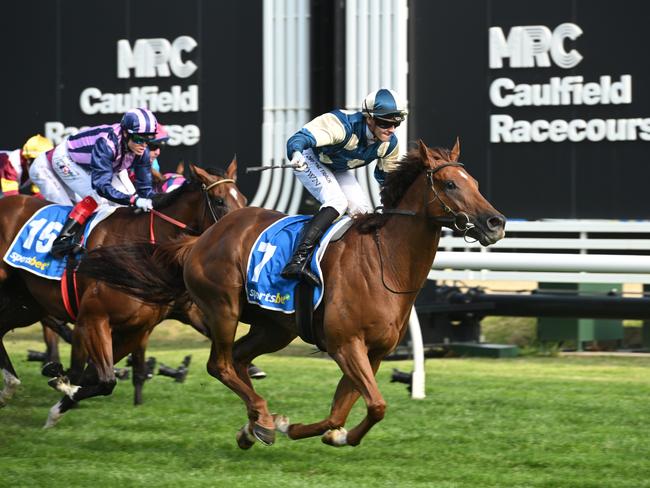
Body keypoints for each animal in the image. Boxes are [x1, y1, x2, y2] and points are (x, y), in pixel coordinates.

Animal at [0, 160, 246, 412]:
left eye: (244, 199)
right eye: (219, 201)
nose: (239, 233)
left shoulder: (140, 327)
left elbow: (99, 376)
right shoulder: (93, 317)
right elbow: (102, 378)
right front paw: (62, 384)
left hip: (28, 304)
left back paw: (10, 386)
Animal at [77, 138, 506, 446]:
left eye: (476, 184)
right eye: (450, 184)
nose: (495, 222)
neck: (385, 262)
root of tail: (200, 238)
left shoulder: (374, 352)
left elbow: (346, 411)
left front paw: (329, 435)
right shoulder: (345, 344)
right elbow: (376, 405)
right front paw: (293, 428)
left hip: (274, 327)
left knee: (239, 360)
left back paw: (255, 424)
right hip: (223, 308)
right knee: (220, 364)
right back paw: (263, 419)